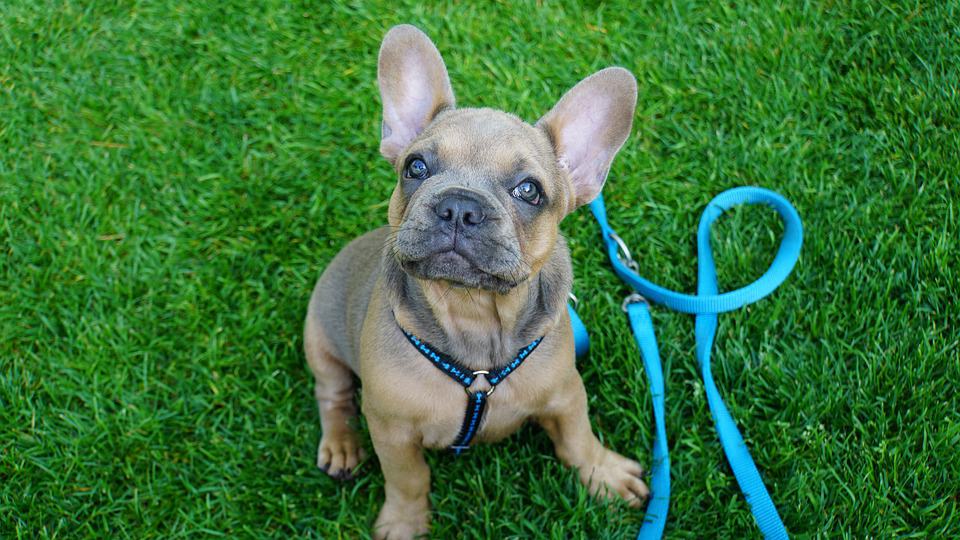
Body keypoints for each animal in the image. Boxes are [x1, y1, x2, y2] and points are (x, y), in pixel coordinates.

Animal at [304, 23, 648, 536]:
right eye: (415, 167)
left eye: (529, 190)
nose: (459, 206)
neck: (473, 314)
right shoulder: (391, 431)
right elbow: (408, 479)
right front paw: (404, 522)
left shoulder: (566, 396)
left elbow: (578, 440)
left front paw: (602, 474)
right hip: (319, 339)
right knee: (333, 395)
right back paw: (341, 445)